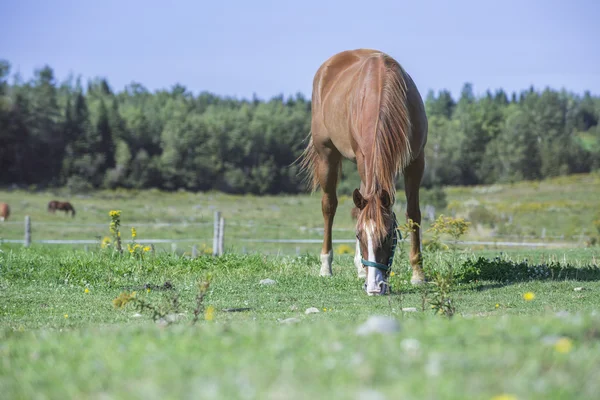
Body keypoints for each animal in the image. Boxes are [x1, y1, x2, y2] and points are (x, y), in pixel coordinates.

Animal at [298, 48, 426, 296]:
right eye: (359, 235)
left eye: (388, 235)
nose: (375, 287)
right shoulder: (361, 157)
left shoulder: (416, 161)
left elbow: (413, 214)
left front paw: (418, 274)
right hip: (326, 155)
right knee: (329, 206)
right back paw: (327, 267)